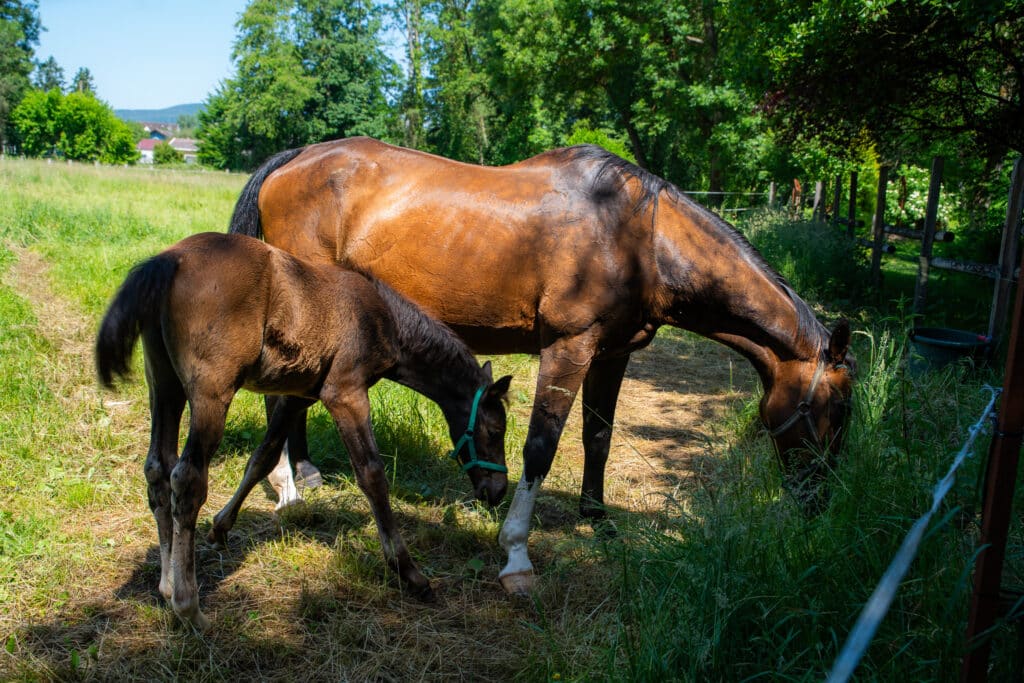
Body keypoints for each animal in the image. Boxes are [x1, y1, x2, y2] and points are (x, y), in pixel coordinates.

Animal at [95, 232, 512, 630]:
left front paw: (220, 528)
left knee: (158, 468)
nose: (497, 491)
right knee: (187, 478)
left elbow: (262, 458)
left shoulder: (298, 397)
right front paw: (410, 573)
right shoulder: (344, 393)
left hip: (163, 384)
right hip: (211, 391)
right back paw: (189, 607)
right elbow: (372, 474)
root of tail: (169, 260)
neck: (383, 315)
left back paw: (167, 586)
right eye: (494, 430)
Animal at [228, 137, 854, 595]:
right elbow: (540, 447)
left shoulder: (612, 353)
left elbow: (598, 435)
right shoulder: (568, 348)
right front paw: (516, 555)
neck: (642, 237)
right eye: (836, 409)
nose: (820, 504)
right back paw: (288, 485)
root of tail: (296, 158)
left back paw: (307, 471)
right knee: (279, 398)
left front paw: (597, 519)